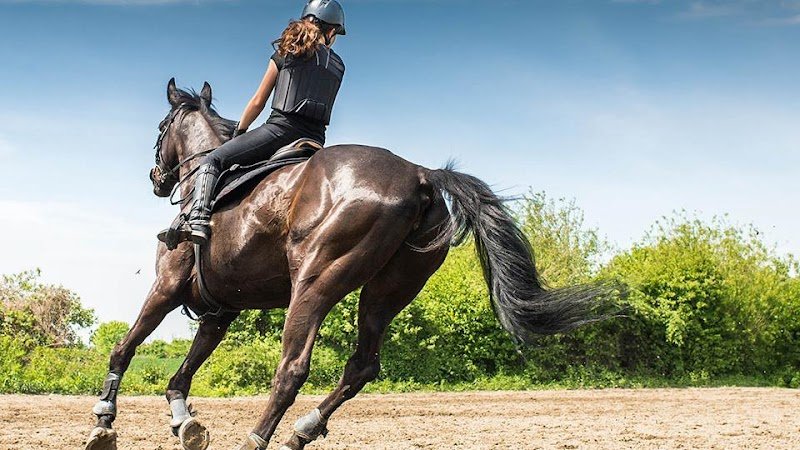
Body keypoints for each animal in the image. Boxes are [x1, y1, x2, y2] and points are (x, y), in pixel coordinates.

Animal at [85, 78, 612, 450]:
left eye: (160, 128)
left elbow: (123, 349)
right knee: (361, 366)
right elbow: (182, 375)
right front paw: (185, 423)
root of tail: (420, 174)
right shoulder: (220, 310)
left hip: (315, 283)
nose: (156, 177)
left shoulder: (167, 288)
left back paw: (258, 439)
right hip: (387, 293)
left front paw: (104, 421)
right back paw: (301, 432)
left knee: (293, 369)